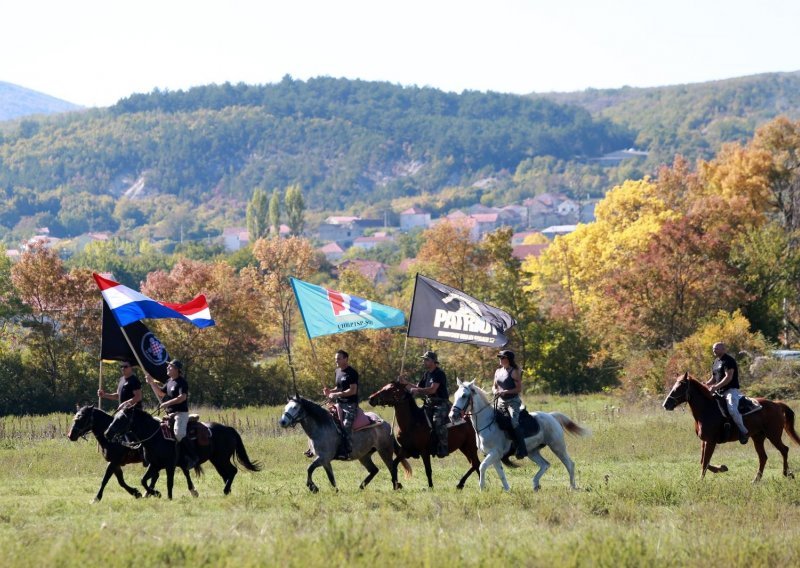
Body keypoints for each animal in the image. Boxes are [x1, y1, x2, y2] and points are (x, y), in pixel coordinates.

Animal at [69, 404, 198, 502]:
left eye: (81, 418)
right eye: (75, 417)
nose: (71, 435)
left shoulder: (114, 462)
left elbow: (105, 479)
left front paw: (96, 498)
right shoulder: (115, 463)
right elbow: (120, 481)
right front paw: (136, 493)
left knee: (185, 471)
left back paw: (193, 491)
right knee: (158, 476)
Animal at [104, 406, 260, 500]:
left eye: (121, 419)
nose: (107, 433)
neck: (156, 436)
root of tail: (229, 429)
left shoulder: (170, 466)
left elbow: (169, 483)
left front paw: (168, 497)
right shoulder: (154, 465)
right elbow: (143, 480)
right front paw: (156, 493)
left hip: (221, 459)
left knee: (232, 471)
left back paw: (225, 490)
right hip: (217, 460)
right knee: (226, 474)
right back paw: (227, 491)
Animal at [278, 394, 410, 492]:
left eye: (295, 407)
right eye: (285, 407)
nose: (282, 422)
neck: (321, 427)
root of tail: (386, 424)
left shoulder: (323, 458)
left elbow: (309, 468)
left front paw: (313, 487)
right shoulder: (325, 461)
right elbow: (331, 478)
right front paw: (335, 491)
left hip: (384, 451)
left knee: (392, 468)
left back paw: (395, 487)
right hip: (364, 456)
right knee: (374, 470)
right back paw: (361, 487)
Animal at [450, 380, 588, 490]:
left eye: (464, 396)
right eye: (455, 395)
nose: (452, 416)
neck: (487, 423)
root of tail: (551, 416)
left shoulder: (494, 453)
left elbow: (482, 466)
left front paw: (482, 488)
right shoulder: (493, 455)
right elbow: (501, 474)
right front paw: (507, 490)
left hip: (557, 447)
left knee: (569, 464)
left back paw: (572, 486)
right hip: (532, 451)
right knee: (545, 464)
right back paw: (535, 484)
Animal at [664, 372, 800, 484]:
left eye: (680, 386)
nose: (666, 404)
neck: (707, 409)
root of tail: (777, 404)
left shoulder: (710, 441)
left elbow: (705, 462)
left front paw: (701, 481)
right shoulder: (704, 441)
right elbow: (703, 461)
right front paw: (722, 468)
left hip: (773, 435)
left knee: (784, 450)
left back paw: (787, 474)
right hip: (758, 438)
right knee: (763, 457)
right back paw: (756, 479)